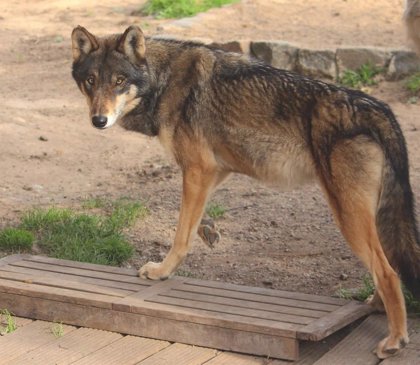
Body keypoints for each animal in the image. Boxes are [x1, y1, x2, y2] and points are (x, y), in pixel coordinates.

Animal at [72, 26, 420, 358]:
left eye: (118, 81)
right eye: (91, 81)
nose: (99, 120)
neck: (163, 80)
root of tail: (379, 108)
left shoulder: (197, 169)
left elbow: (181, 234)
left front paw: (161, 272)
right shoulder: (216, 170)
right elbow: (192, 222)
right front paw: (208, 231)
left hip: (348, 217)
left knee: (388, 272)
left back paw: (395, 340)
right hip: (369, 217)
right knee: (389, 265)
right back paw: (375, 306)